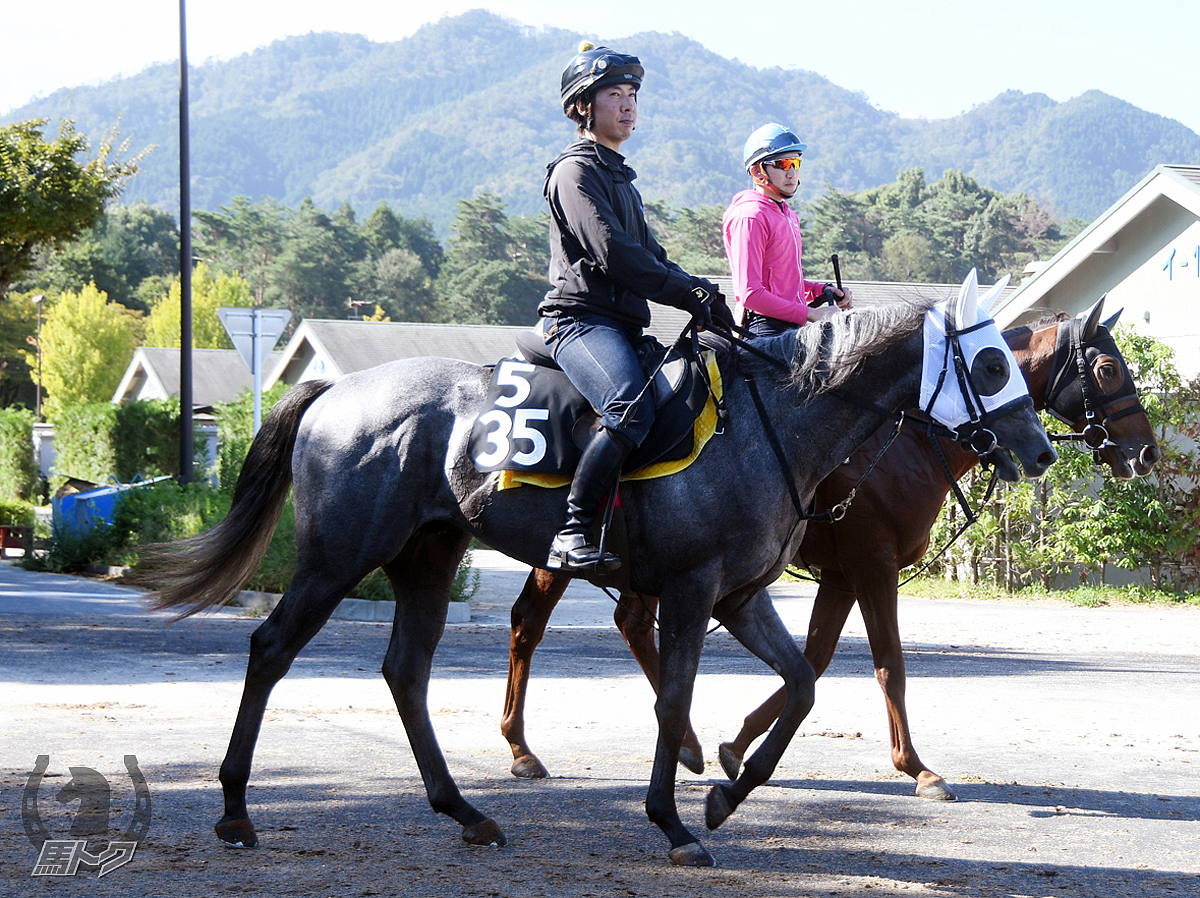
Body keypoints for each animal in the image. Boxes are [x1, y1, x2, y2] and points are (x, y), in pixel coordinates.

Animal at [499, 300, 1161, 801]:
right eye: (1107, 369)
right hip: (575, 554)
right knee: (534, 623)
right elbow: (888, 664)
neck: (907, 436)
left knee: (622, 620)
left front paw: (738, 745)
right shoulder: (871, 567)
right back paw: (525, 747)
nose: (1147, 453)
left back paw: (677, 741)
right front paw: (917, 768)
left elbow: (812, 661)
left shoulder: (840, 576)